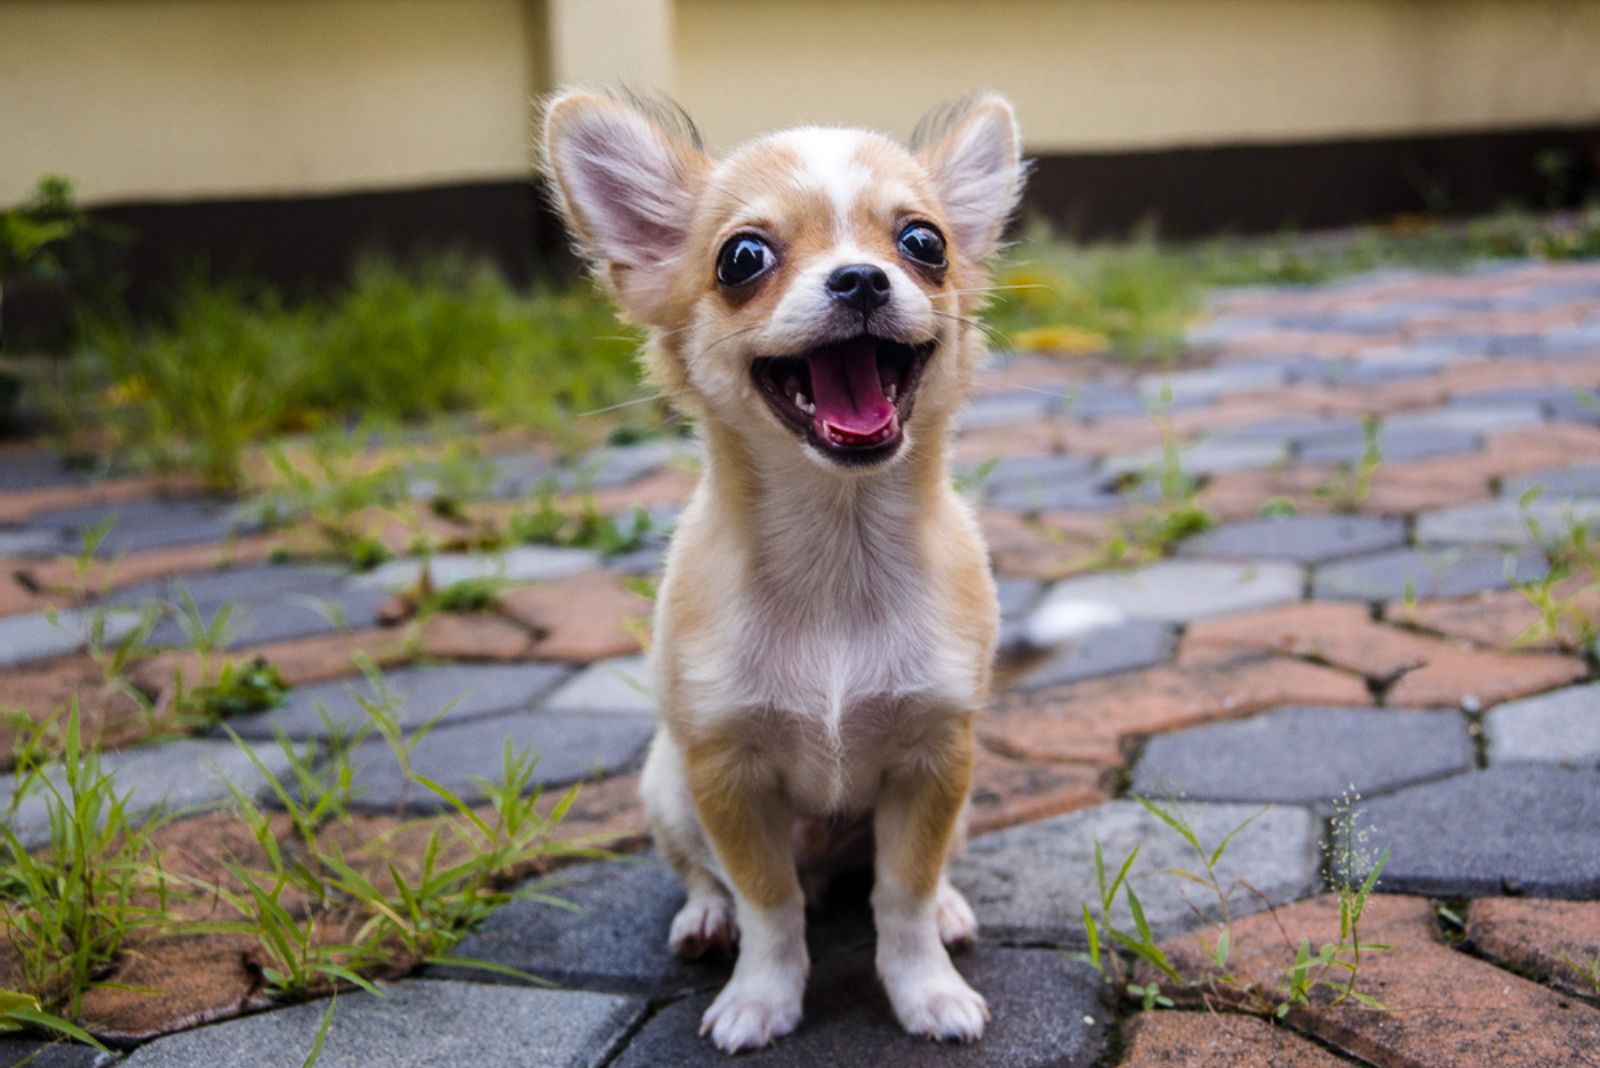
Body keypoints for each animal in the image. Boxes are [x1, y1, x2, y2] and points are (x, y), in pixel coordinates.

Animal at [540, 85, 1024, 1048]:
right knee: (710, 877)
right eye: (743, 258)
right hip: (667, 786)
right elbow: (769, 902)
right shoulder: (725, 774)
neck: (838, 548)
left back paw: (951, 908)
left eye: (925, 245)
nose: (862, 279)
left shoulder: (935, 760)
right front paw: (761, 998)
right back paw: (704, 919)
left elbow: (902, 895)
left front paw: (927, 990)